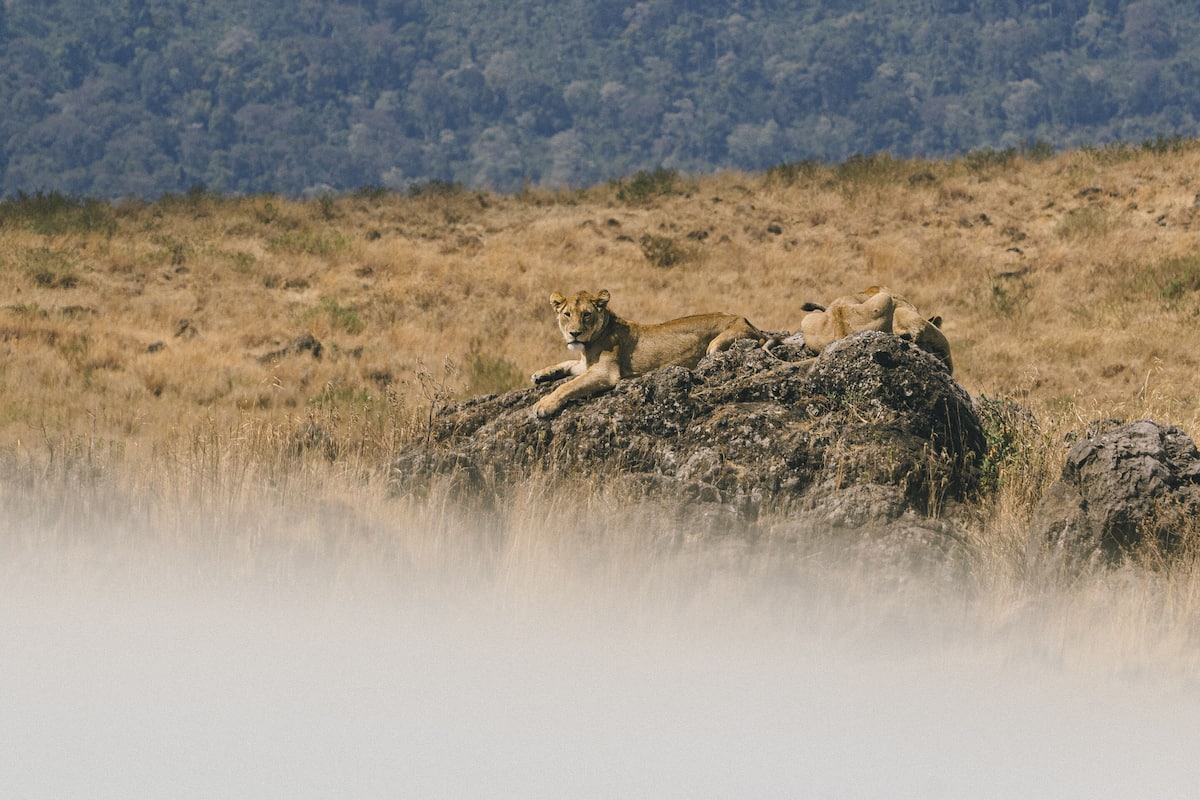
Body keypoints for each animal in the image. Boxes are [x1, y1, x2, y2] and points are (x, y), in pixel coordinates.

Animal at [531, 289, 767, 418]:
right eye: (567, 314)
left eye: (586, 314)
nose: (574, 334)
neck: (588, 345)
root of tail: (749, 321)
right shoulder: (585, 364)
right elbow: (566, 363)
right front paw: (540, 374)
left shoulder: (605, 372)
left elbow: (567, 385)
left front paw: (543, 404)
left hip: (716, 345)